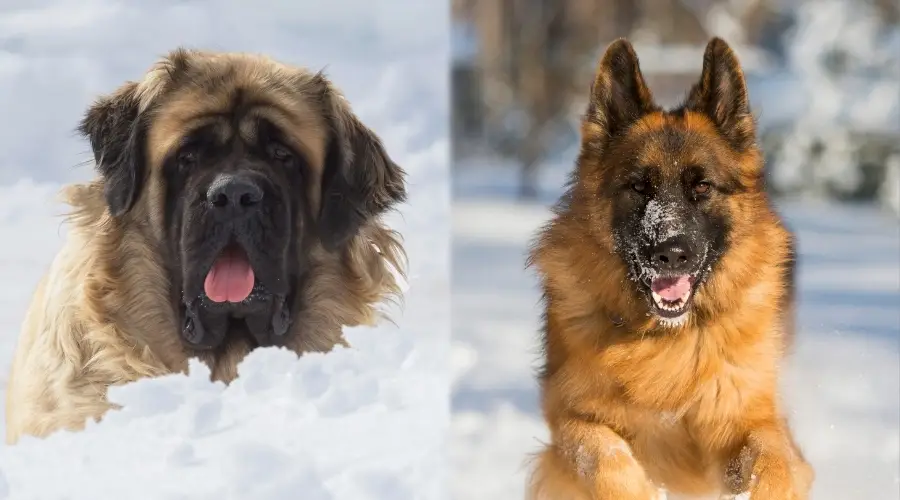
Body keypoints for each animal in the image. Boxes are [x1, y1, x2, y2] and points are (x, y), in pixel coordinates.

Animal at [524, 37, 812, 498]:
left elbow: (773, 460)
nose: (671, 253)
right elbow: (602, 454)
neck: (669, 341)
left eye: (702, 187)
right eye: (639, 187)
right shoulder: (570, 420)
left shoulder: (756, 421)